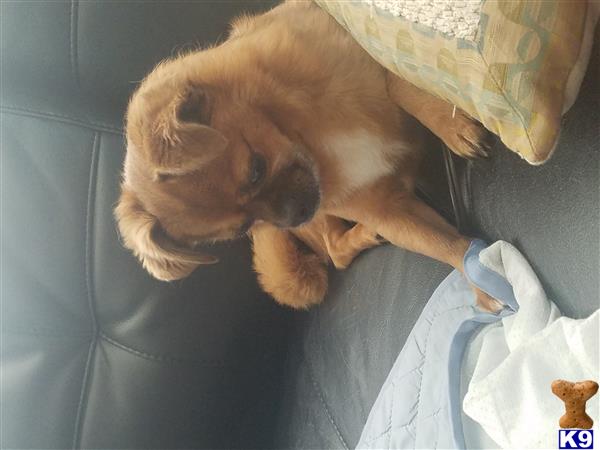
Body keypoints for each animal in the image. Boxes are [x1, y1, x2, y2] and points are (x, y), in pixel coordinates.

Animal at [113, 0, 496, 310]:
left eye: (256, 169)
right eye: (245, 227)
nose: (293, 217)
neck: (306, 135)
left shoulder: (356, 42)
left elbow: (397, 80)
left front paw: (451, 126)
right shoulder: (387, 211)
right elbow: (440, 244)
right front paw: (481, 280)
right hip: (325, 220)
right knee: (334, 252)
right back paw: (362, 236)